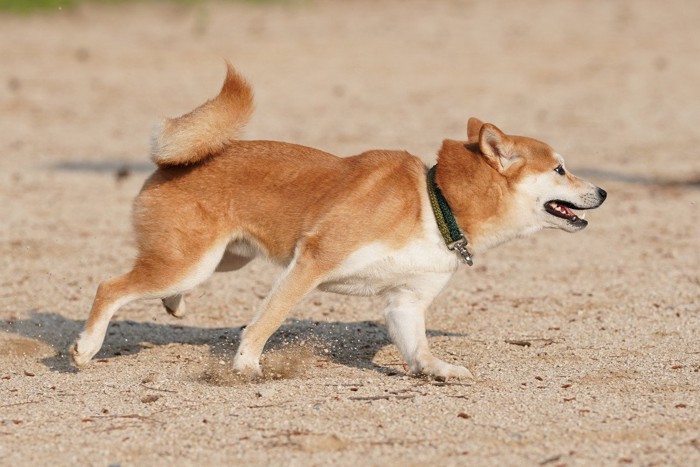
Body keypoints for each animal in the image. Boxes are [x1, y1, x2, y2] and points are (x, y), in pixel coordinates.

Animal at [71, 64, 608, 380]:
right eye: (560, 169)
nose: (603, 191)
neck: (435, 204)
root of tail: (169, 163)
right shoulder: (313, 260)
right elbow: (268, 319)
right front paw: (246, 365)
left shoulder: (405, 301)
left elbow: (418, 349)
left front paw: (438, 369)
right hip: (193, 260)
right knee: (110, 287)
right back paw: (86, 348)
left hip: (223, 259)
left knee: (157, 286)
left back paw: (174, 306)